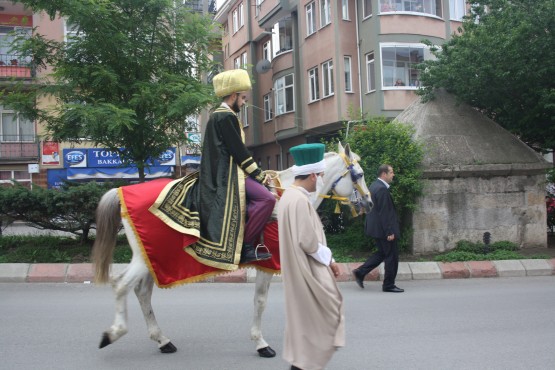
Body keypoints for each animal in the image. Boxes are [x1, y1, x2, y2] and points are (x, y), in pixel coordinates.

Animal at [92, 141, 374, 356]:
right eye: (359, 175)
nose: (369, 202)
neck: (286, 196)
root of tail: (122, 193)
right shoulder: (268, 263)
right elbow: (260, 301)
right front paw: (261, 343)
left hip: (152, 260)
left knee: (142, 293)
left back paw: (162, 340)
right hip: (144, 260)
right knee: (122, 286)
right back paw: (113, 333)